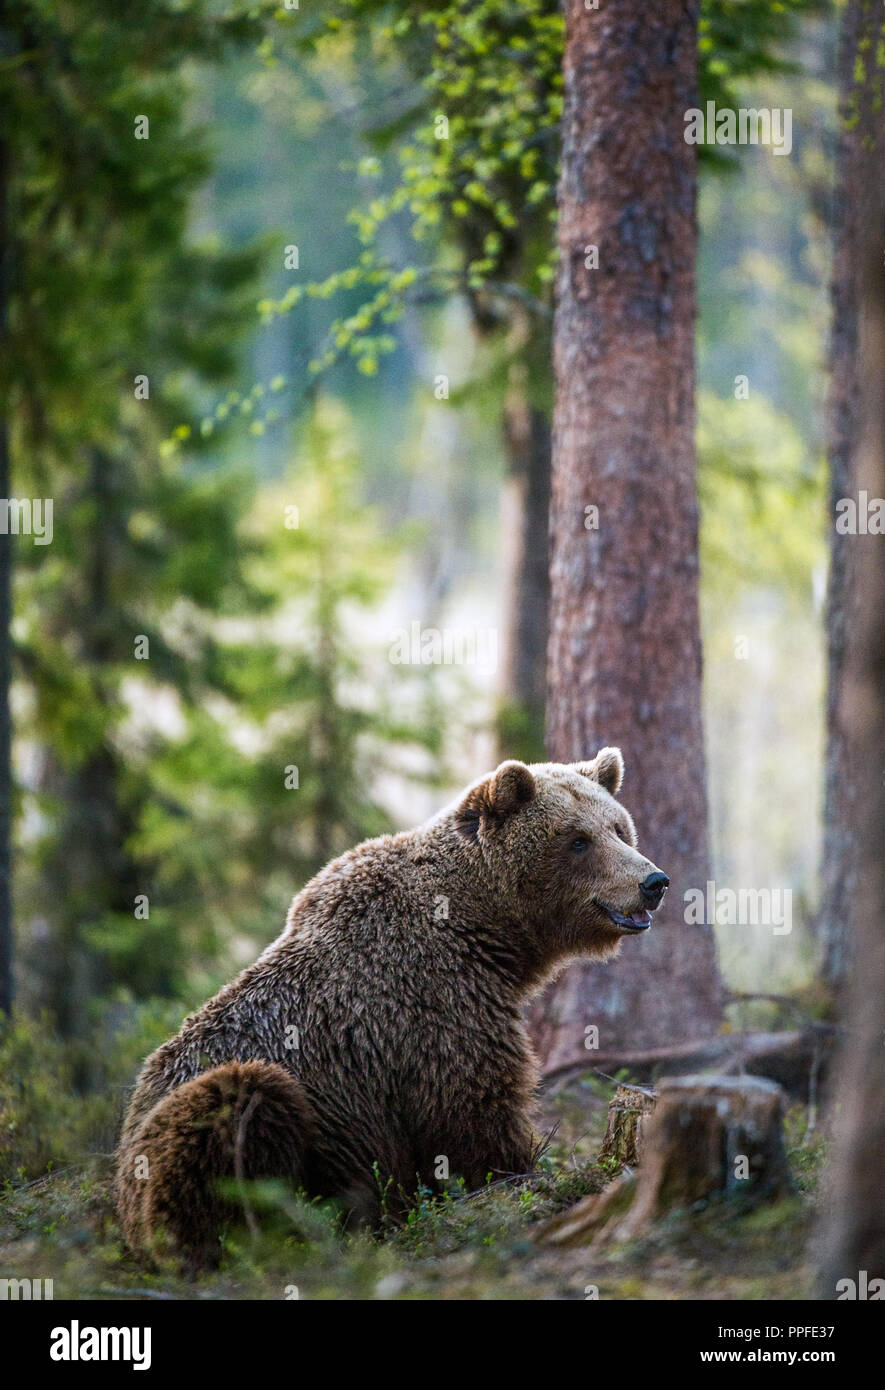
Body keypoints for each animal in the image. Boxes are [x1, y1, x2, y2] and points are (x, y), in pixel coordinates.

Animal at [115, 748, 668, 1269]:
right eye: (578, 840)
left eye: (619, 828)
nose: (654, 882)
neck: (484, 929)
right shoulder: (432, 1000)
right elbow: (473, 1107)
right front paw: (519, 1176)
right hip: (202, 1126)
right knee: (236, 1104)